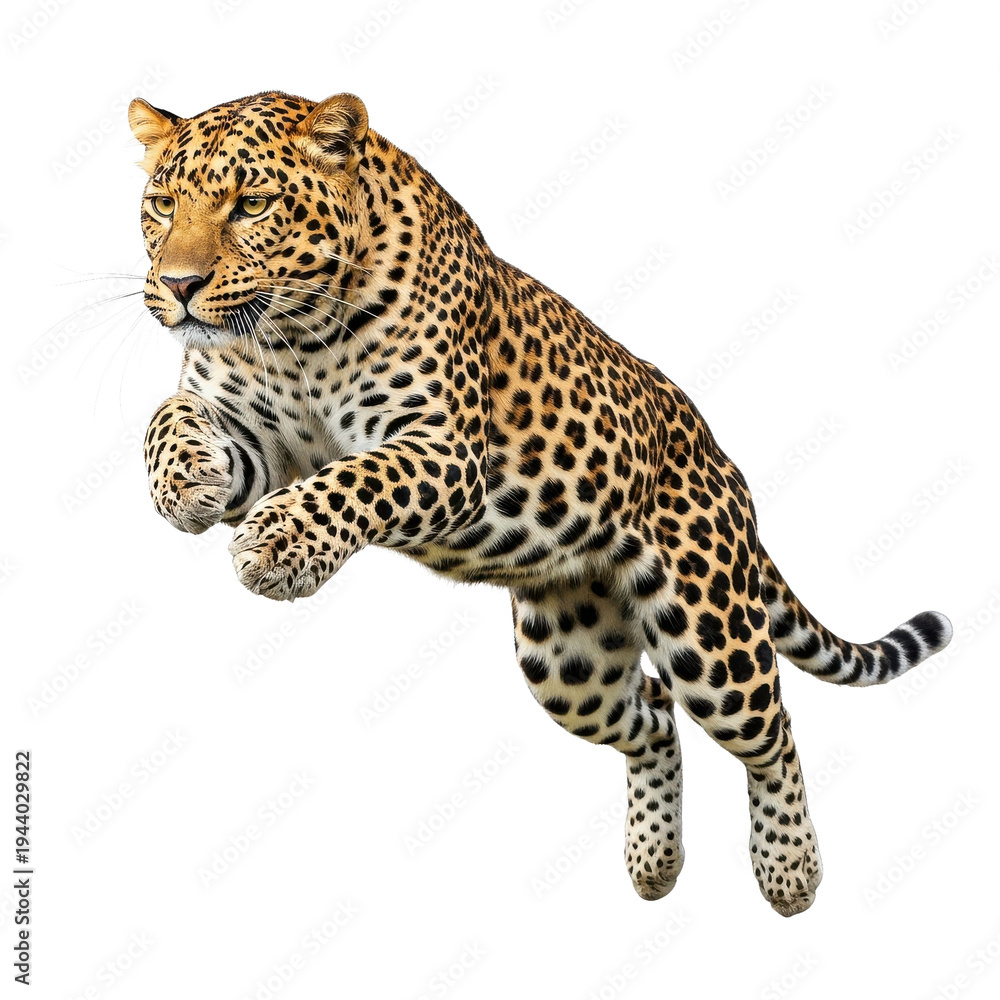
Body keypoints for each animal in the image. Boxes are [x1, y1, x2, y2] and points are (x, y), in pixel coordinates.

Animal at [128, 90, 952, 916]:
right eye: (162, 205)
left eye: (253, 205)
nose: (178, 285)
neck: (293, 337)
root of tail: (725, 466)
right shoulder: (256, 439)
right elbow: (166, 417)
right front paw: (185, 484)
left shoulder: (444, 450)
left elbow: (358, 479)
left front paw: (281, 546)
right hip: (569, 659)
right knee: (656, 714)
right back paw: (654, 863)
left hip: (708, 631)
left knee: (771, 728)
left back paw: (790, 870)